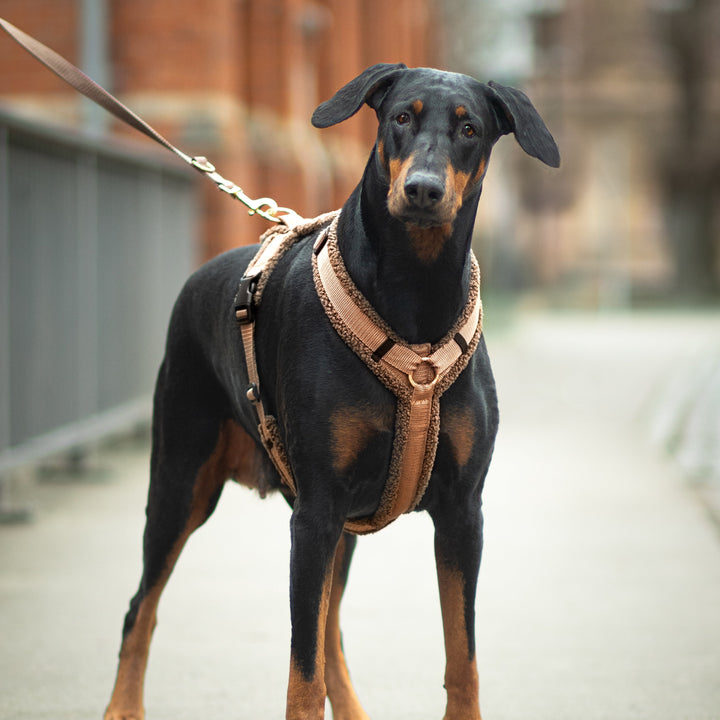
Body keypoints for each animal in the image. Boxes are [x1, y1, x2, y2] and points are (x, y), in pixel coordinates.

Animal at [104, 63, 560, 720]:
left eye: (470, 127)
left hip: (337, 525)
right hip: (182, 480)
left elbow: (462, 657)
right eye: (400, 116)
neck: (414, 297)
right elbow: (302, 673)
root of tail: (198, 277)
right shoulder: (317, 511)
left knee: (329, 627)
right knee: (142, 605)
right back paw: (122, 706)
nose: (422, 190)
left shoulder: (461, 510)